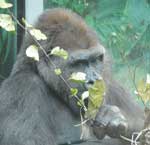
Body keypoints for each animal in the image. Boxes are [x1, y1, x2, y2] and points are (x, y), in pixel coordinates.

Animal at [0, 8, 145, 145]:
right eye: (79, 63)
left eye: (95, 60)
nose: (95, 81)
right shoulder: (23, 87)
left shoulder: (110, 82)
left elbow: (142, 124)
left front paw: (113, 117)